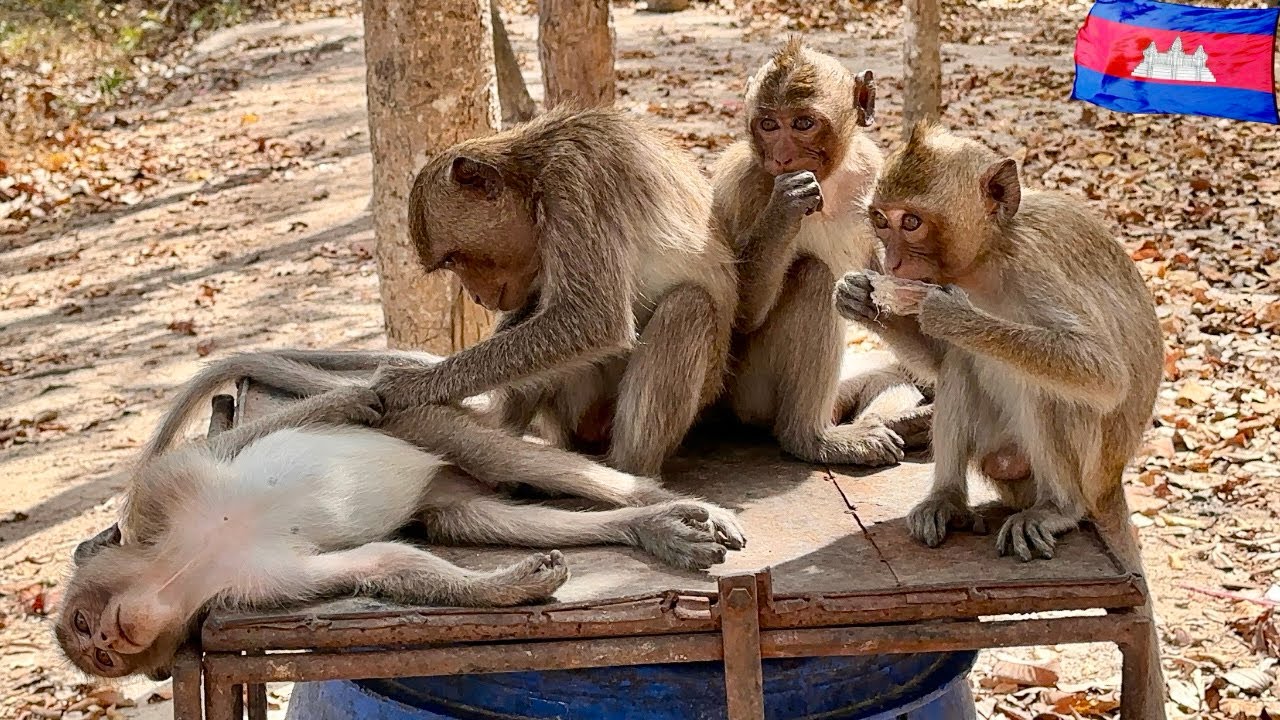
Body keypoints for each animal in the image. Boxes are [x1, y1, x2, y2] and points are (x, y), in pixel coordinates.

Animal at [57, 350, 746, 681]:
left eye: (86, 626)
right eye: (97, 658)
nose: (108, 641)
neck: (179, 567)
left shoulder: (164, 494)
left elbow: (231, 445)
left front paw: (356, 397)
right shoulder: (253, 590)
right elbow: (383, 561)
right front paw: (505, 591)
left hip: (431, 426)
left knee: (514, 459)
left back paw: (659, 503)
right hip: (448, 492)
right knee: (467, 518)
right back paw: (642, 527)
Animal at [366, 106, 739, 478]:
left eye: (453, 258)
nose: (474, 297)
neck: (535, 174)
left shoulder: (575, 186)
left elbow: (592, 319)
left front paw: (410, 385)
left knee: (688, 305)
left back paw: (627, 470)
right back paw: (498, 427)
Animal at [710, 39, 932, 467]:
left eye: (802, 124)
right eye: (768, 125)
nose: (782, 157)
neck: (828, 186)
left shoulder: (871, 169)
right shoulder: (742, 183)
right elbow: (739, 315)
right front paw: (785, 206)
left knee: (887, 375)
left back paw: (907, 422)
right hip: (748, 396)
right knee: (813, 277)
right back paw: (811, 439)